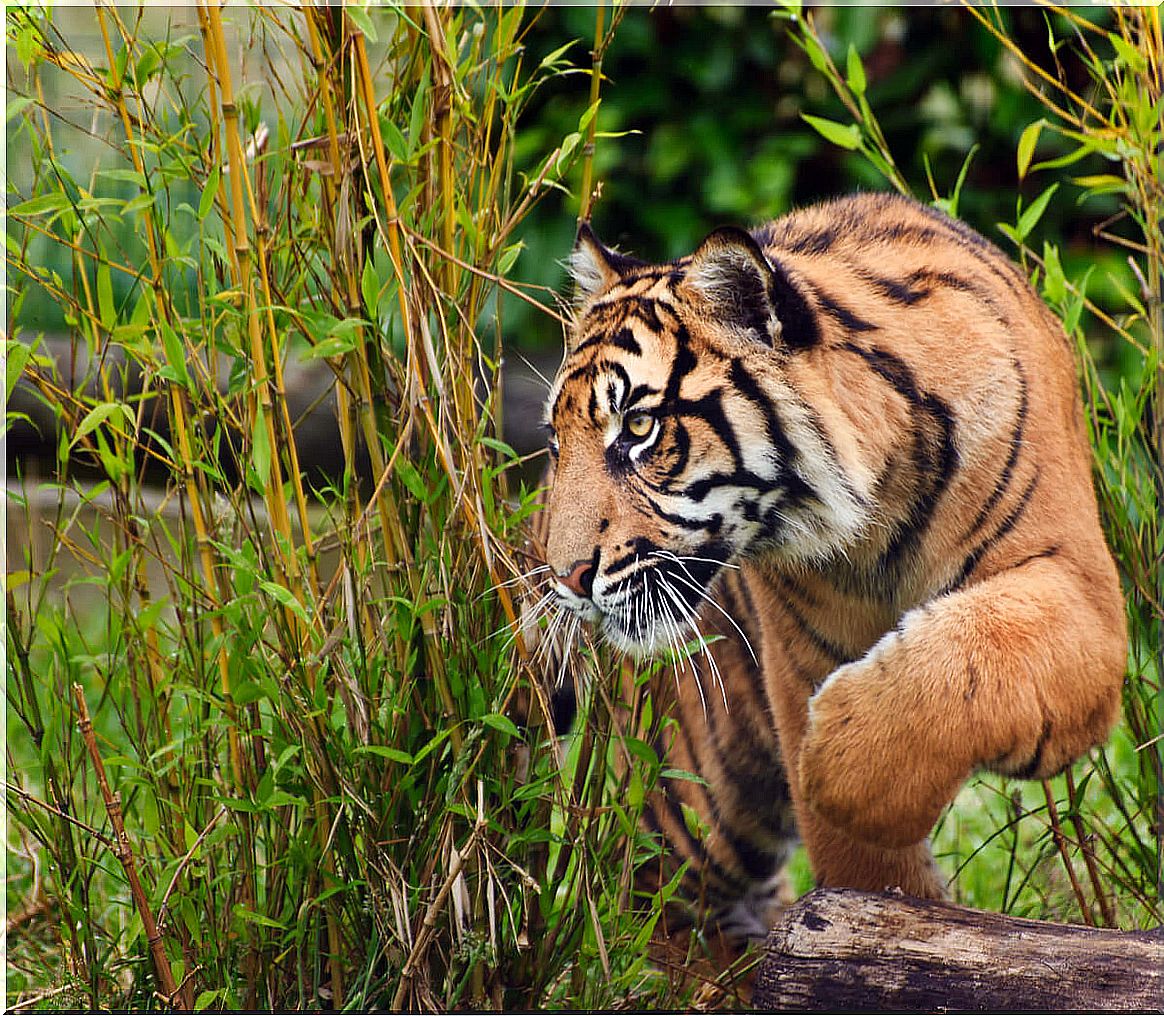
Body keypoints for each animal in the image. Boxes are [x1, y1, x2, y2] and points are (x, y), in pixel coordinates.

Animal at [528, 192, 1126, 968]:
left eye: (637, 428)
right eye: (555, 440)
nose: (564, 577)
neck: (880, 507)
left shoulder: (1079, 589)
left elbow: (969, 655)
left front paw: (837, 771)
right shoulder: (799, 663)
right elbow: (860, 870)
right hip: (694, 787)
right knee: (661, 910)